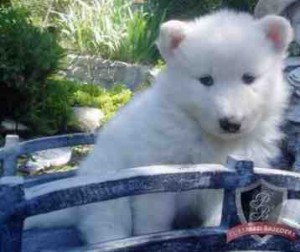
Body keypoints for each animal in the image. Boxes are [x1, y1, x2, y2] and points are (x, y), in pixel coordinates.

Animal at [25, 9, 292, 244]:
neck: (207, 137)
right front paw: (151, 237)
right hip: (106, 186)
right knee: (105, 222)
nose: (231, 123)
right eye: (206, 80)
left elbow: (222, 214)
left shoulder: (227, 184)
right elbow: (154, 219)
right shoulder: (156, 174)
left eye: (249, 78)